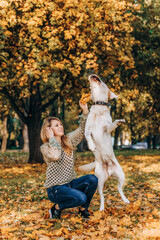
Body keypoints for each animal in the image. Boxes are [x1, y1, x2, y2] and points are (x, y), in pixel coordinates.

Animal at [79, 74, 130, 211]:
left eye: (102, 81)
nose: (93, 74)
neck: (99, 108)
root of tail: (109, 171)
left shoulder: (107, 129)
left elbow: (112, 124)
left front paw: (120, 121)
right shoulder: (87, 131)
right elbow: (88, 137)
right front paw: (91, 146)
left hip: (121, 175)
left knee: (119, 189)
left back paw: (125, 200)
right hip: (99, 182)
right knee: (102, 196)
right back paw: (101, 208)